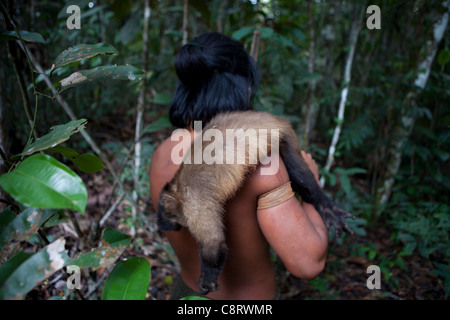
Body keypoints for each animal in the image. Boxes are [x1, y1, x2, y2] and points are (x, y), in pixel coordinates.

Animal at [158, 110, 356, 296]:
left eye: (167, 218)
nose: (163, 226)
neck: (177, 189)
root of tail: (272, 117)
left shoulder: (194, 202)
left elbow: (214, 244)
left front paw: (207, 280)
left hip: (285, 137)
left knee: (300, 174)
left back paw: (326, 206)